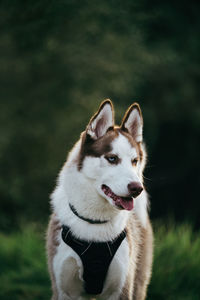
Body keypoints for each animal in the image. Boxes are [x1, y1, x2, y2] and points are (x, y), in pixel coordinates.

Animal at [46, 101, 153, 300]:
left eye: (134, 161)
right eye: (112, 158)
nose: (137, 188)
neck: (94, 222)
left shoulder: (121, 288)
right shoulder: (65, 289)